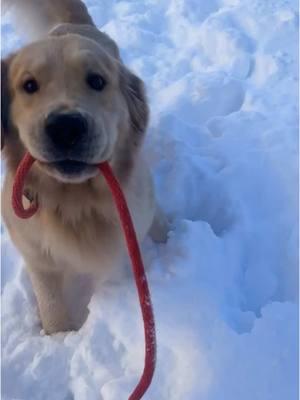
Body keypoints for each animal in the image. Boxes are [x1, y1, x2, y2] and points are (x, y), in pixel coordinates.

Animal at [0, 0, 169, 334]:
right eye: (29, 85)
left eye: (97, 81)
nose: (65, 127)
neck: (75, 204)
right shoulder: (36, 255)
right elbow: (51, 304)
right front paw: (59, 335)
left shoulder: (126, 234)